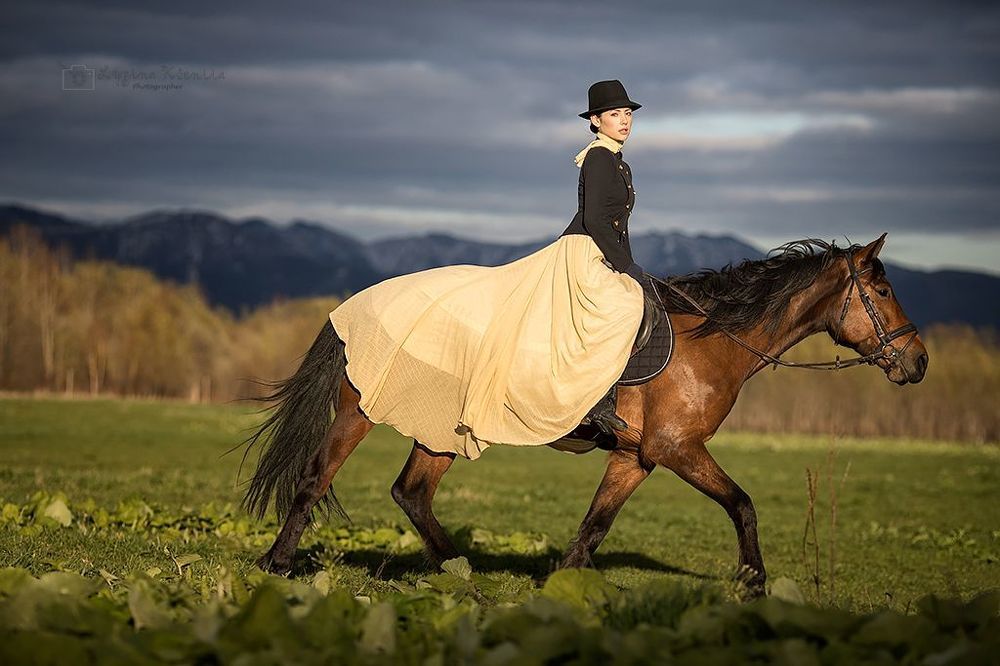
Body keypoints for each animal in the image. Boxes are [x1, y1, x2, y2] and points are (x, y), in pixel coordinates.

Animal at [236, 233, 928, 598]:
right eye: (882, 289)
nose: (918, 362)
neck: (712, 340)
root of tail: (353, 307)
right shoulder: (678, 450)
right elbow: (743, 503)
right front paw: (754, 584)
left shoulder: (637, 458)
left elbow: (594, 528)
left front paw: (562, 590)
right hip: (362, 413)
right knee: (316, 479)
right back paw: (277, 564)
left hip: (439, 429)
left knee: (411, 492)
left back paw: (461, 571)